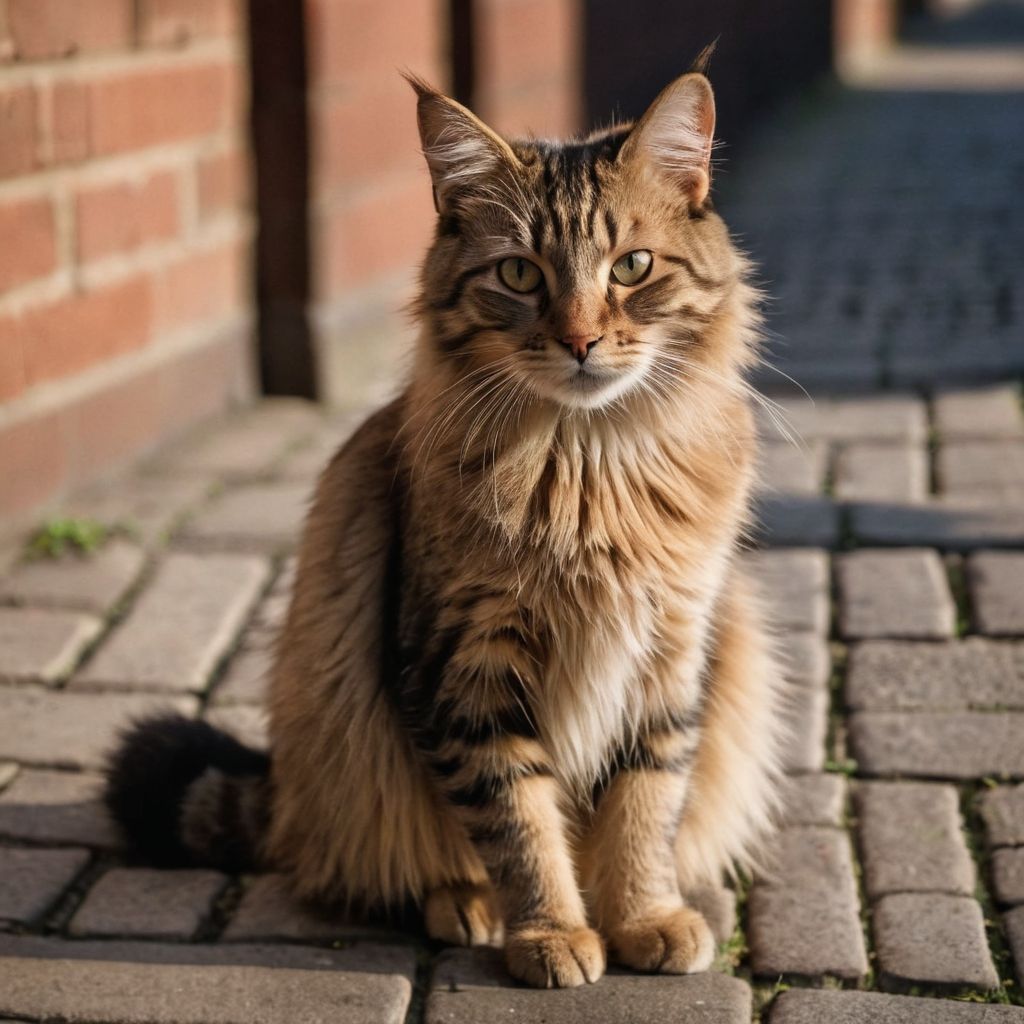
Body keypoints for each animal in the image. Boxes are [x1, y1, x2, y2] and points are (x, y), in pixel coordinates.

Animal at [105, 66, 782, 991]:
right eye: (521, 274)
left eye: (633, 267)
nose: (579, 340)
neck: (588, 470)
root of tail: (285, 798)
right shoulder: (466, 668)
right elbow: (520, 822)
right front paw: (551, 932)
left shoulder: (672, 655)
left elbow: (645, 805)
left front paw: (643, 917)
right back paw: (466, 905)